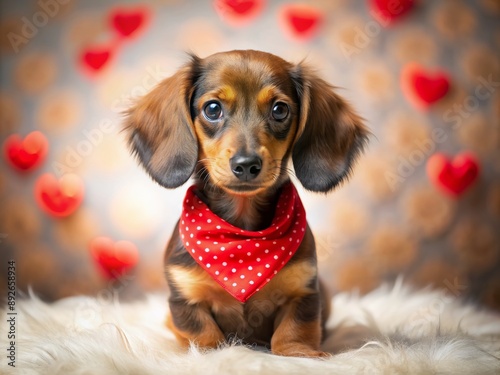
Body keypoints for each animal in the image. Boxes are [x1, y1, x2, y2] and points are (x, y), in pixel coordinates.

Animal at [125, 50, 368, 358]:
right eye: (212, 108)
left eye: (279, 110)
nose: (246, 164)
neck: (242, 236)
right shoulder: (185, 297)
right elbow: (201, 335)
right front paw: (208, 353)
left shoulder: (303, 291)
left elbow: (294, 330)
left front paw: (300, 354)